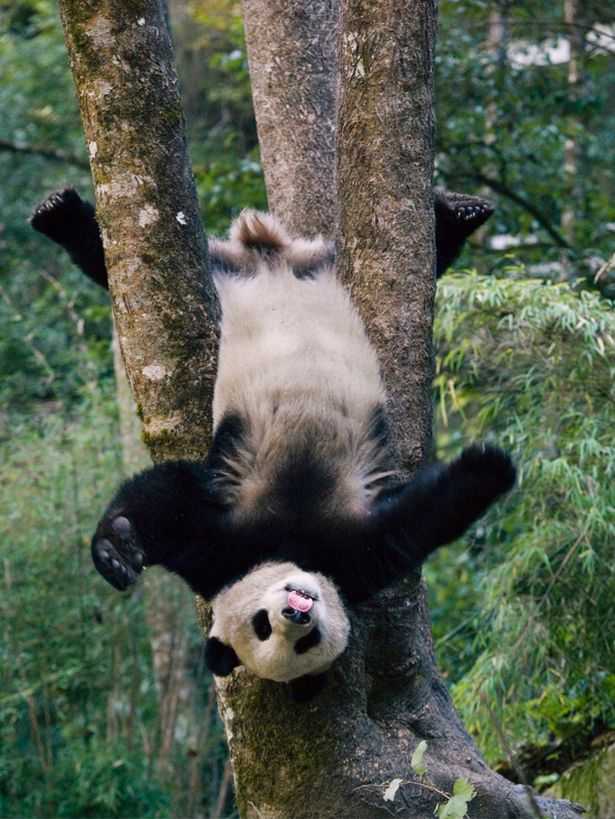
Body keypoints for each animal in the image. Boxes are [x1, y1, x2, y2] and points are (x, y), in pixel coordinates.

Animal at [30, 188, 510, 702]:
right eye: (265, 629)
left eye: (305, 640)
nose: (297, 610)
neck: (293, 542)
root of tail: (273, 257)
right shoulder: (234, 546)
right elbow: (172, 497)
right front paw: (117, 550)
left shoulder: (350, 555)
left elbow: (424, 517)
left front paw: (492, 465)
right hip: (227, 273)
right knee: (102, 257)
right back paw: (58, 215)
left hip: (300, 267)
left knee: (434, 248)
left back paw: (460, 213)